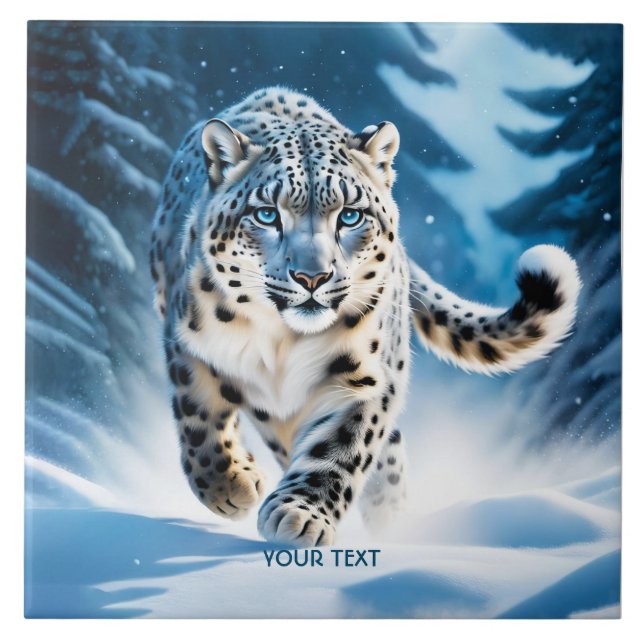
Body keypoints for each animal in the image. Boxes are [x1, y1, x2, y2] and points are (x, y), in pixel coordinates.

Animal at [149, 86, 581, 547]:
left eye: (350, 215)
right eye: (266, 214)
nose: (312, 276)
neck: (283, 342)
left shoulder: (369, 376)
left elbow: (345, 444)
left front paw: (300, 514)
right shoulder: (187, 345)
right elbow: (198, 419)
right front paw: (230, 485)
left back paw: (392, 516)